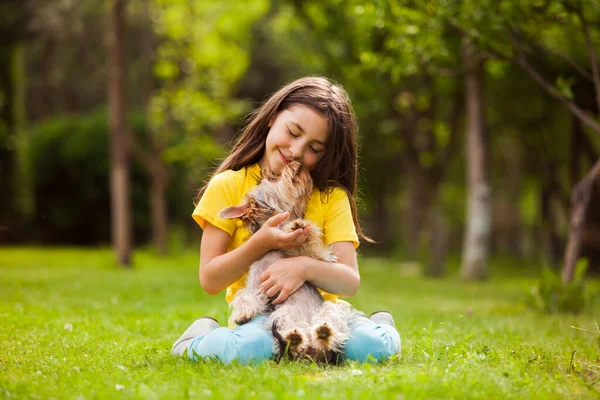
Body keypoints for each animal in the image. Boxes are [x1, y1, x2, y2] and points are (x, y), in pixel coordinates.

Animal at [219, 161, 360, 360]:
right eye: (272, 178)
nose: (295, 162)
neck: (274, 250)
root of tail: (314, 354)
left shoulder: (317, 256)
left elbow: (312, 250)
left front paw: (297, 225)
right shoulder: (256, 283)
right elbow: (245, 295)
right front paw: (242, 314)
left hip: (332, 310)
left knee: (328, 325)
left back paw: (323, 333)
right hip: (280, 316)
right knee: (294, 336)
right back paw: (296, 339)